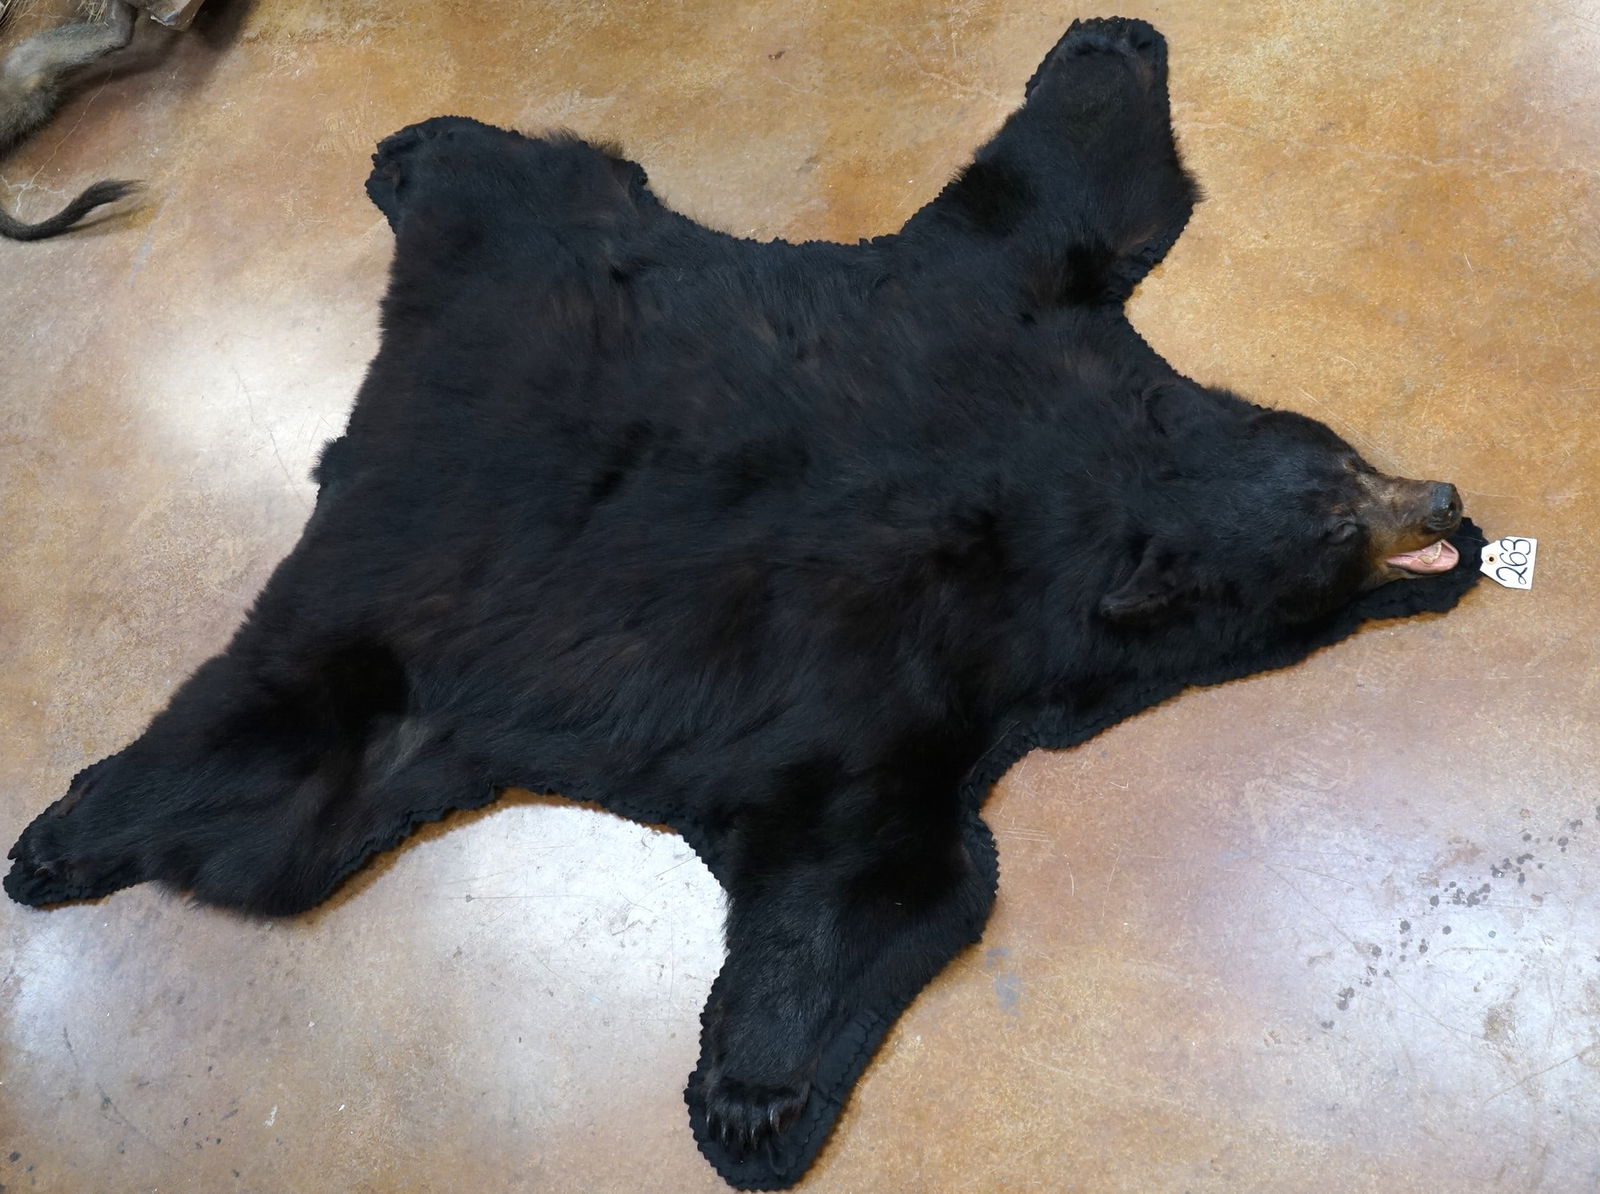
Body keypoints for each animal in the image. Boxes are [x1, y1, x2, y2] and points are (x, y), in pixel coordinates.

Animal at [5, 17, 1479, 1190]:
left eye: (1348, 457)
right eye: (1338, 508)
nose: (1451, 503)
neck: (1081, 503)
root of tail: (364, 448)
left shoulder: (1005, 393)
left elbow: (1063, 211)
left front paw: (746, 1094)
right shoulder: (896, 661)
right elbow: (900, 866)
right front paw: (754, 1103)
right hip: (365, 644)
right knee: (245, 775)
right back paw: (57, 838)